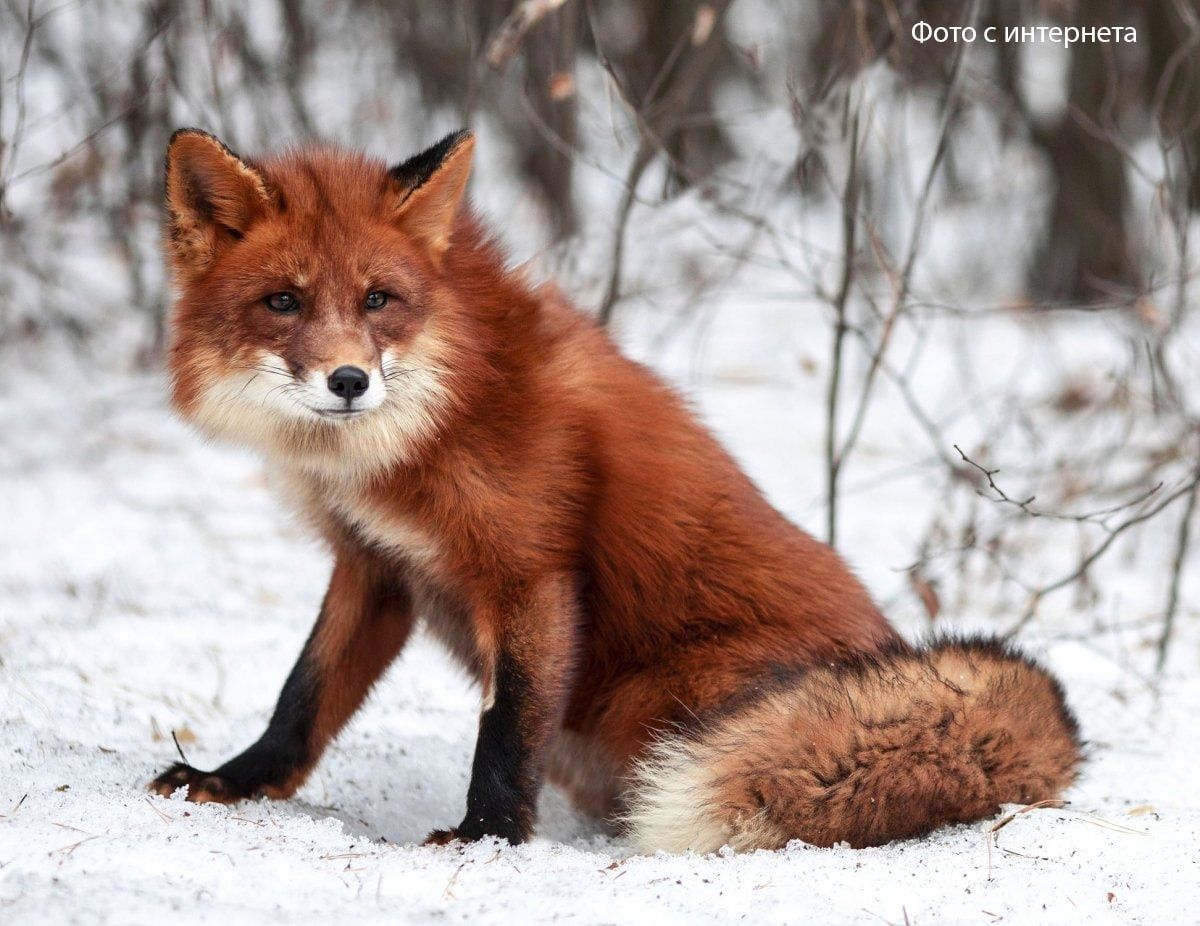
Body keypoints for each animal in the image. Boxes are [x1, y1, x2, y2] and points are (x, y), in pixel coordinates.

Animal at [147, 126, 1080, 849]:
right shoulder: (376, 568)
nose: (349, 381)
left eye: (379, 300)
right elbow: (303, 697)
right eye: (283, 302)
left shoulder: (531, 573)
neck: (434, 420)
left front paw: (487, 836)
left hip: (664, 700)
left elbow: (505, 727)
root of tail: (890, 653)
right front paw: (235, 780)